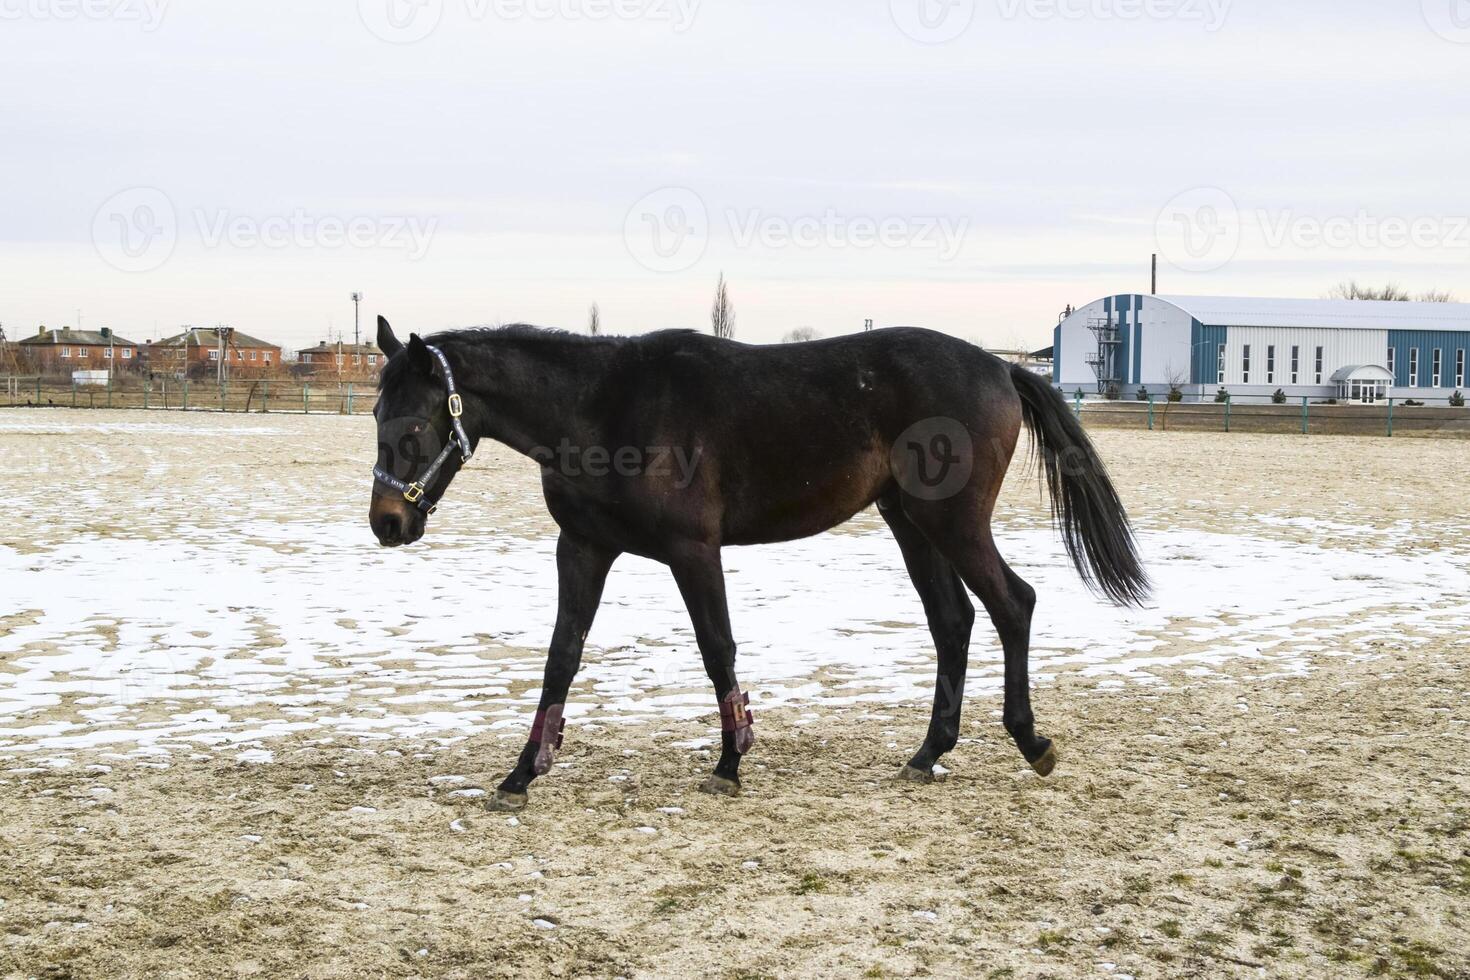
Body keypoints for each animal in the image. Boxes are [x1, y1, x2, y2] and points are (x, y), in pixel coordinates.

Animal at [367, 315, 1146, 811]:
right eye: (376, 414)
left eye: (417, 421)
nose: (388, 522)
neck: (603, 408)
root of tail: (1001, 368)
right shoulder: (582, 548)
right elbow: (562, 656)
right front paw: (522, 774)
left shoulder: (692, 551)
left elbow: (718, 649)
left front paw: (731, 760)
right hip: (911, 524)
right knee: (953, 622)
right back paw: (928, 753)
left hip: (951, 524)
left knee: (1012, 604)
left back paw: (1030, 740)